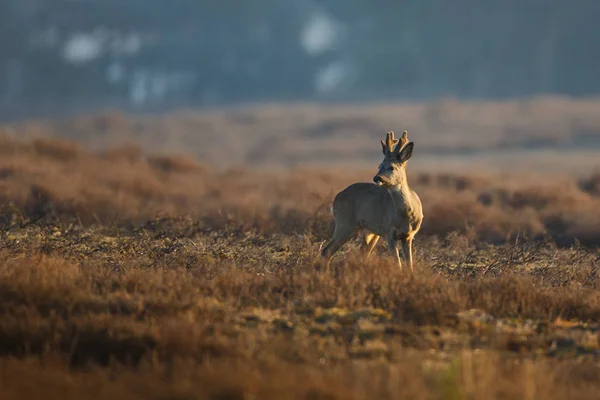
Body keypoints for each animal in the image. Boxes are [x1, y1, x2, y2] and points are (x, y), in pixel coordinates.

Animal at [322, 131, 424, 276]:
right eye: (379, 166)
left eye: (392, 167)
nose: (377, 178)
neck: (405, 215)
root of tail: (336, 198)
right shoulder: (389, 231)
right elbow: (397, 263)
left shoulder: (409, 236)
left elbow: (410, 264)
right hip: (346, 223)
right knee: (327, 251)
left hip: (369, 231)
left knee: (362, 253)